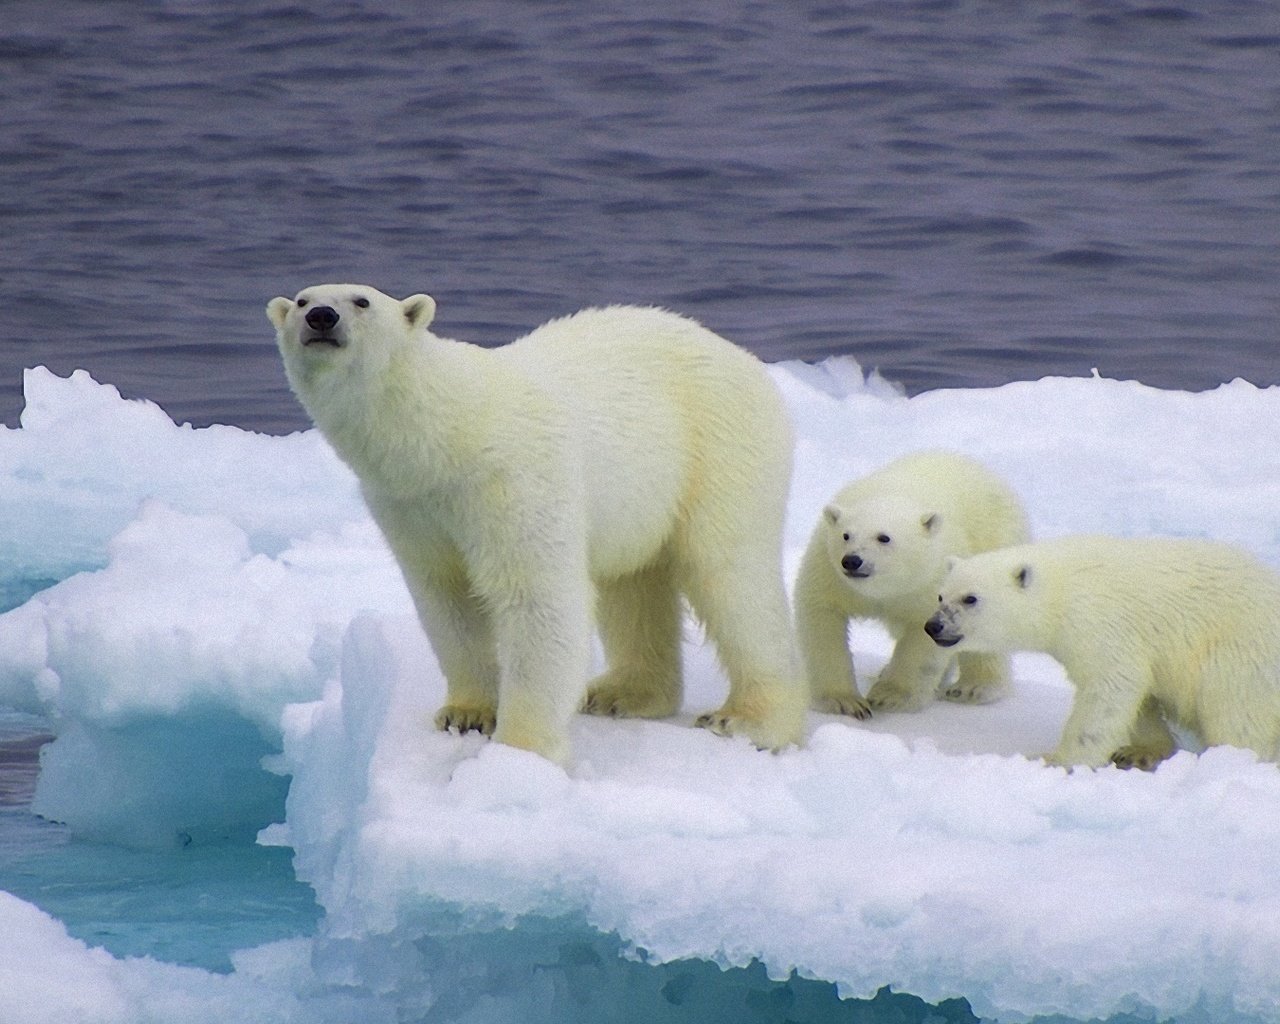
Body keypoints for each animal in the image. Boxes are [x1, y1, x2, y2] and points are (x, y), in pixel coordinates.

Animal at [268, 284, 803, 762]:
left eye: (361, 301)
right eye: (301, 299)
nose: (320, 317)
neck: (448, 433)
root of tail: (743, 358)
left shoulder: (514, 478)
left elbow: (536, 598)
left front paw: (520, 750)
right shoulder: (408, 505)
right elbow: (446, 597)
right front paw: (466, 713)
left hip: (719, 446)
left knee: (729, 575)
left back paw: (749, 720)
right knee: (631, 584)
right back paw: (622, 693)